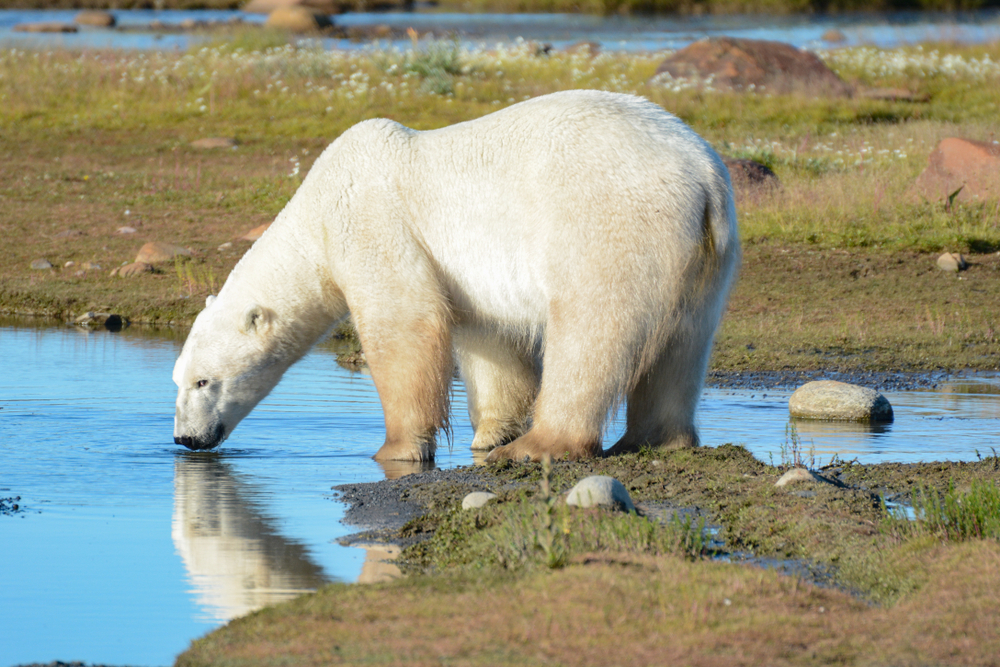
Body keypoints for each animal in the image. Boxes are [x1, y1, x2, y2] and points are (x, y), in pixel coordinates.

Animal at [172, 89, 740, 463]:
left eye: (205, 380)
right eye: (179, 380)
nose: (184, 439)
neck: (316, 215)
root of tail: (701, 173)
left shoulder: (375, 223)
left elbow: (404, 323)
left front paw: (397, 448)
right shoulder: (465, 281)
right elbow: (491, 344)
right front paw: (490, 434)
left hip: (609, 225)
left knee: (591, 328)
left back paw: (541, 445)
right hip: (706, 257)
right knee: (685, 341)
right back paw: (655, 437)